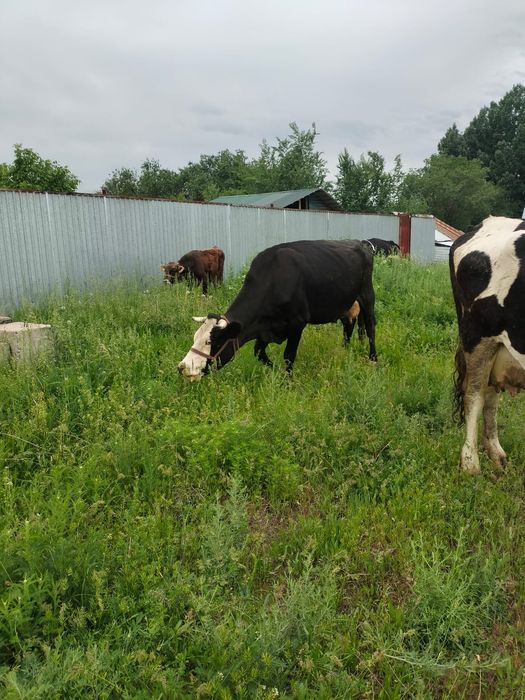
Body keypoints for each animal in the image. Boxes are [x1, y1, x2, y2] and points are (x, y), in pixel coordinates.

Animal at [178, 239, 377, 381]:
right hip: (346, 303)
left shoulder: (297, 322)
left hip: (367, 295)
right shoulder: (264, 327)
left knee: (370, 327)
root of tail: (360, 243)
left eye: (212, 342)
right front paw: (276, 373)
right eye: (195, 338)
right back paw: (343, 351)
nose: (183, 367)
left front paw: (288, 381)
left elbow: (288, 356)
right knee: (349, 325)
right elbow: (259, 353)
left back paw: (373, 359)